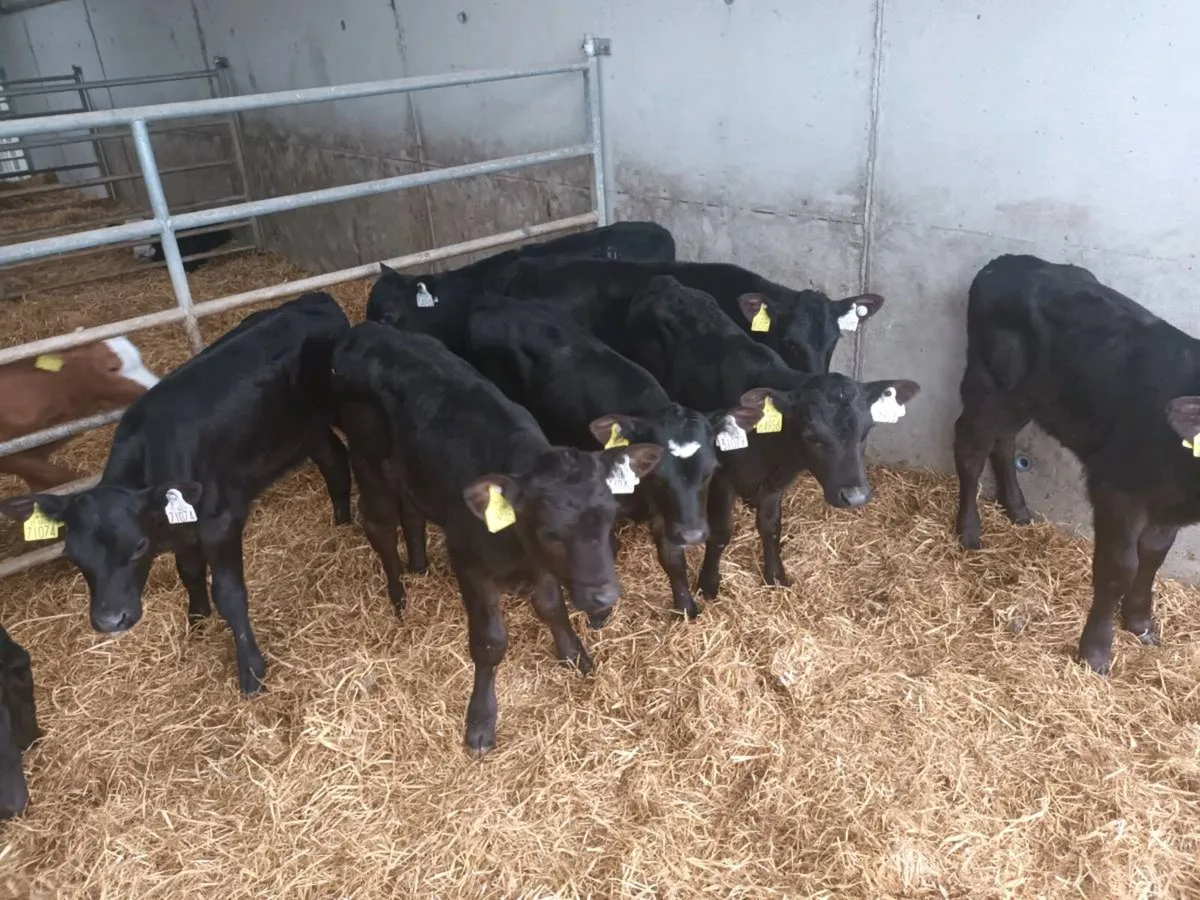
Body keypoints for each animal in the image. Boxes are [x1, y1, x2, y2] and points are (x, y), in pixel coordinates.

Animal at [331, 323, 662, 755]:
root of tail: (364, 330)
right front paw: (481, 720)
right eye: (551, 533)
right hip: (368, 465)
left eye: (610, 519)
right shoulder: (470, 563)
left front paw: (574, 655)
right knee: (380, 526)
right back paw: (398, 595)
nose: (604, 597)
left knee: (412, 511)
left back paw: (418, 565)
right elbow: (489, 643)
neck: (517, 547)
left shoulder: (540, 567)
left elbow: (552, 608)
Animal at [625, 276, 920, 599]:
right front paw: (708, 583)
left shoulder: (776, 485)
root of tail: (664, 283)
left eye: (865, 432)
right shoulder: (722, 478)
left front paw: (775, 575)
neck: (777, 453)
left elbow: (771, 527)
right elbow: (721, 533)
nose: (855, 496)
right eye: (811, 435)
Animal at [954, 253, 1200, 675]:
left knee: (1004, 442)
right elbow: (1120, 568)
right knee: (971, 447)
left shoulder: (1168, 503)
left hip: (1027, 399)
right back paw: (969, 529)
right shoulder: (1117, 490)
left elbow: (1154, 555)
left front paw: (1140, 622)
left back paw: (1017, 507)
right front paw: (1096, 651)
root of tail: (1006, 262)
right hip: (989, 385)